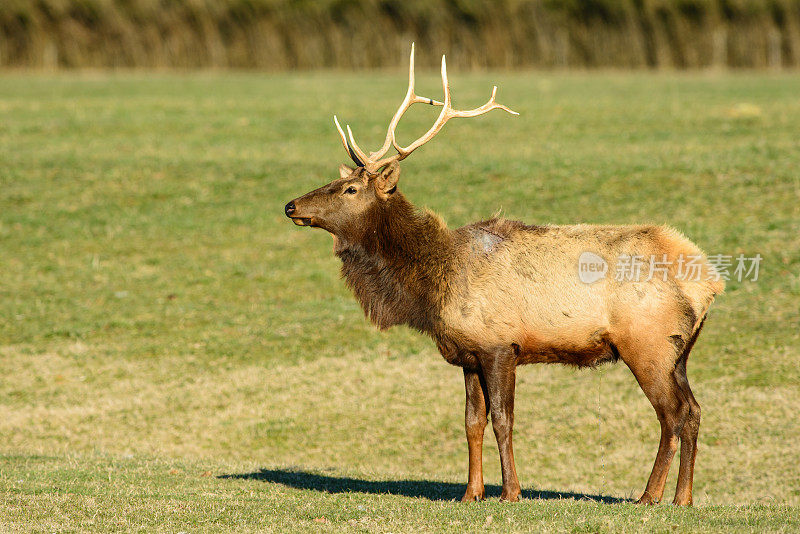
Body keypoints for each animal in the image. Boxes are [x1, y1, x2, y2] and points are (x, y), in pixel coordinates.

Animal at [284, 45, 720, 506]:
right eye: (334, 180)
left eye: (350, 189)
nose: (291, 205)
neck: (430, 287)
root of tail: (709, 280)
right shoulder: (467, 353)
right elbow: (471, 422)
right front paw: (470, 493)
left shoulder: (500, 345)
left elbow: (502, 420)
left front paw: (511, 492)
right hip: (679, 352)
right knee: (692, 411)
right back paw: (676, 497)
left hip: (648, 343)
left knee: (673, 414)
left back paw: (655, 496)